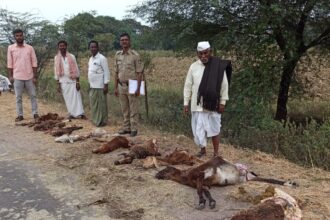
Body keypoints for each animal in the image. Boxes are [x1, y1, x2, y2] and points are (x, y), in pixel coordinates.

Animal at [155, 156, 296, 210]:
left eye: (166, 169)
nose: (156, 175)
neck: (186, 176)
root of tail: (246, 174)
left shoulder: (202, 175)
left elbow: (200, 191)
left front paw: (202, 203)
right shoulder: (202, 182)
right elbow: (205, 191)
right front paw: (210, 202)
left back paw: (291, 184)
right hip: (249, 179)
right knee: (268, 179)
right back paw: (289, 183)